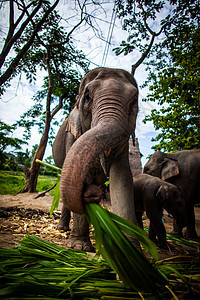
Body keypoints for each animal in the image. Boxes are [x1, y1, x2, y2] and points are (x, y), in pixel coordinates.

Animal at [52, 67, 138, 251]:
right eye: (87, 97)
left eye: (133, 101)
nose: (89, 193)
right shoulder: (72, 135)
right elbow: (81, 175)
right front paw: (79, 247)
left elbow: (122, 178)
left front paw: (132, 250)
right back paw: (62, 229)